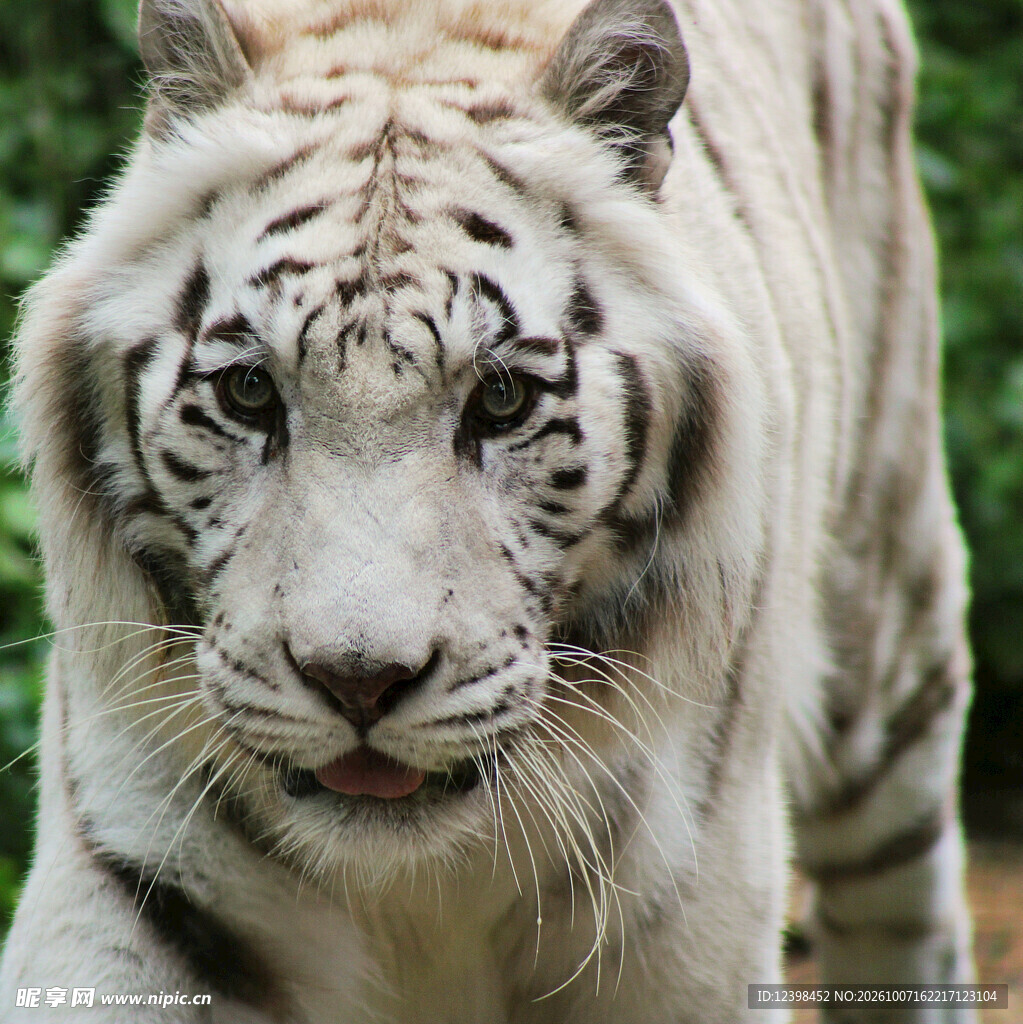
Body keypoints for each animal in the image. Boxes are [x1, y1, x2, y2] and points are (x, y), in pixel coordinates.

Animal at [0, 0, 974, 1020]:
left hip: (885, 647)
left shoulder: (687, 921)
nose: (358, 681)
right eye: (250, 392)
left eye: (500, 400)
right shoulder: (136, 875)